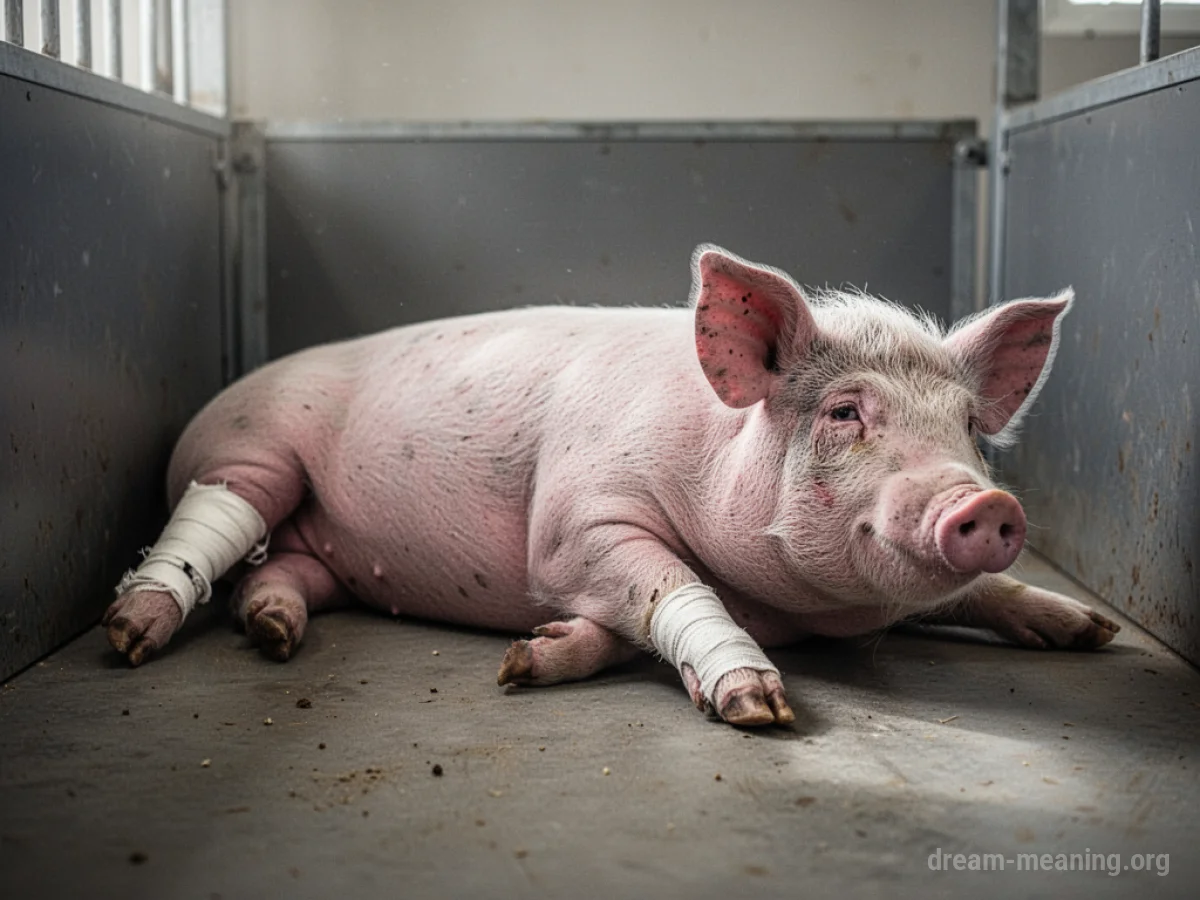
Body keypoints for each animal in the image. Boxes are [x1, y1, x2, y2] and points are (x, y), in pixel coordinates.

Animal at [103, 245, 1119, 727]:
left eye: (969, 428)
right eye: (843, 412)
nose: (984, 503)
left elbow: (986, 591)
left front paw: (1090, 633)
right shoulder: (573, 521)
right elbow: (671, 585)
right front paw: (759, 706)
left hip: (331, 555)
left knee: (280, 580)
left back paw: (275, 636)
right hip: (255, 450)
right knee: (217, 521)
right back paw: (132, 638)